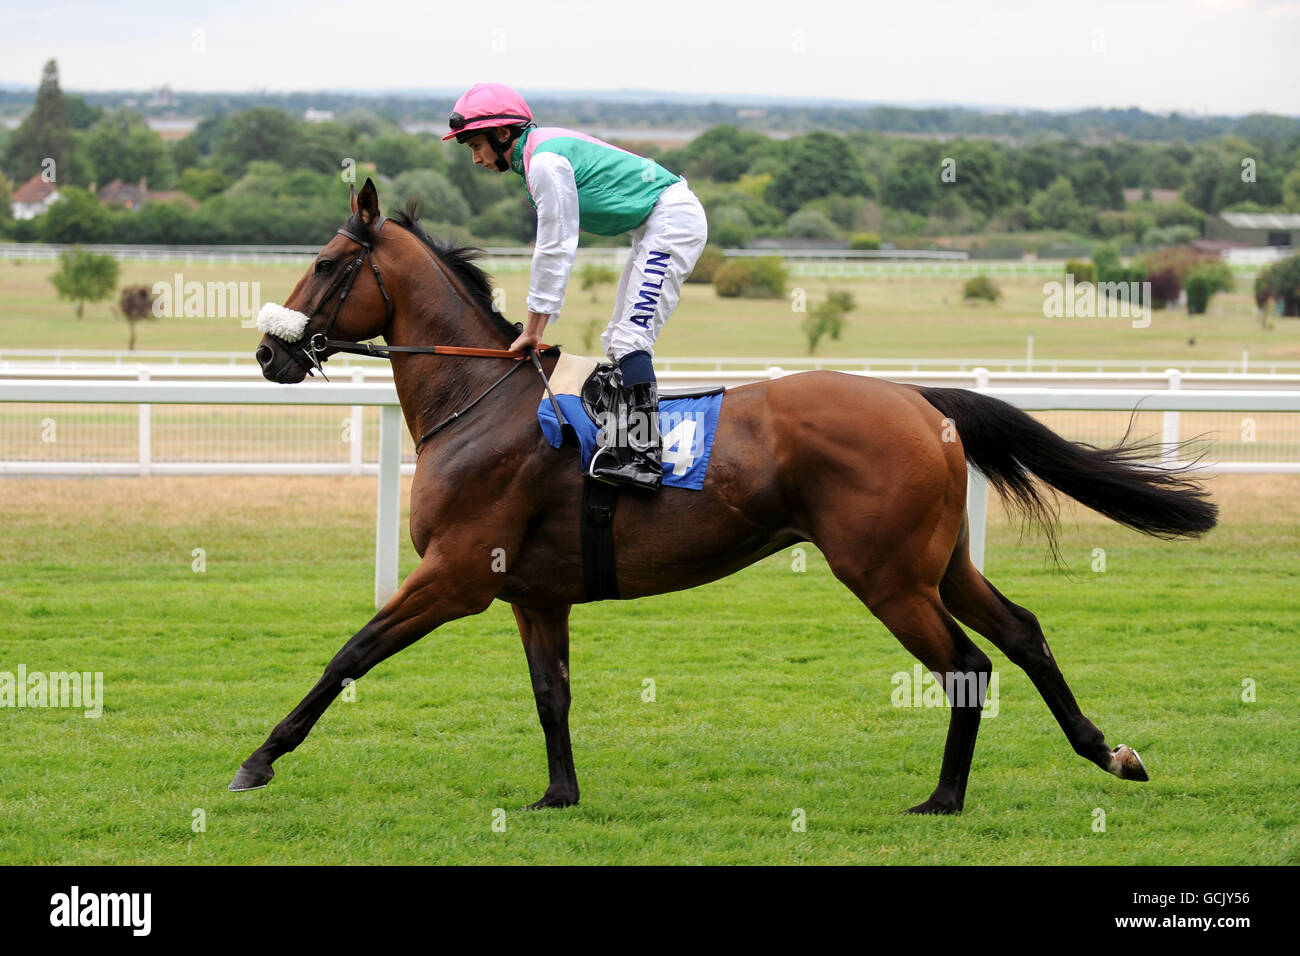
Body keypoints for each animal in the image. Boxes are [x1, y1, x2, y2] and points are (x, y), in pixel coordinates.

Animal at [236, 175, 1216, 811]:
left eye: (324, 264)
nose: (269, 353)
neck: (482, 404)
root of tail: (921, 400)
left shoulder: (456, 576)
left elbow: (351, 653)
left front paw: (258, 759)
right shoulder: (534, 593)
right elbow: (552, 695)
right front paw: (560, 794)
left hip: (887, 576)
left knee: (968, 665)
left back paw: (943, 798)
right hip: (940, 564)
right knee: (1023, 633)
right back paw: (1108, 753)